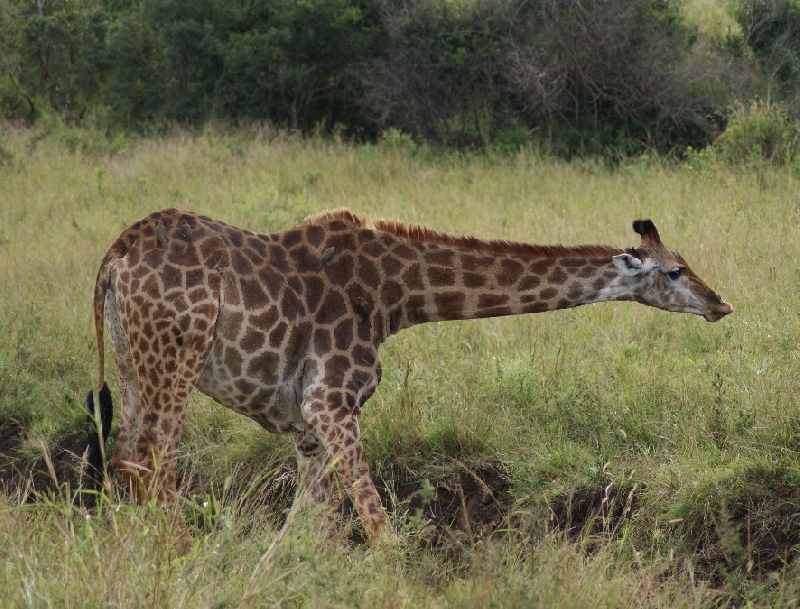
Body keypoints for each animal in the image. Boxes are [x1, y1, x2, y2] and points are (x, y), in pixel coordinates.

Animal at [86, 208, 732, 536]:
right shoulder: (331, 401)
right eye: (675, 271)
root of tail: (116, 254)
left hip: (132, 361)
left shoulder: (308, 426)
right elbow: (377, 526)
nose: (721, 303)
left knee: (125, 462)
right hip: (177, 354)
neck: (394, 299)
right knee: (156, 466)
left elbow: (304, 527)